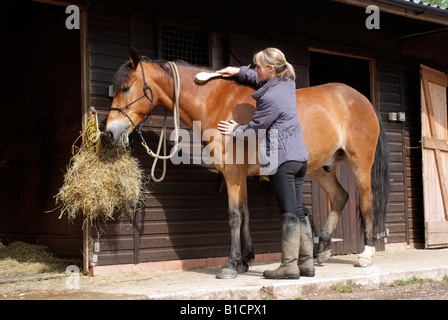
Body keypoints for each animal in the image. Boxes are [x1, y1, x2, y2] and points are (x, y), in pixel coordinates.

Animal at [105, 48, 388, 280]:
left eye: (126, 88)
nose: (110, 132)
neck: (218, 102)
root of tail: (362, 100)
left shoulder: (233, 174)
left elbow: (234, 217)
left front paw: (230, 265)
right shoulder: (239, 176)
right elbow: (245, 214)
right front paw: (245, 260)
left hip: (360, 163)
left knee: (366, 202)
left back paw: (365, 255)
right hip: (321, 168)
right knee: (340, 197)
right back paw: (322, 250)